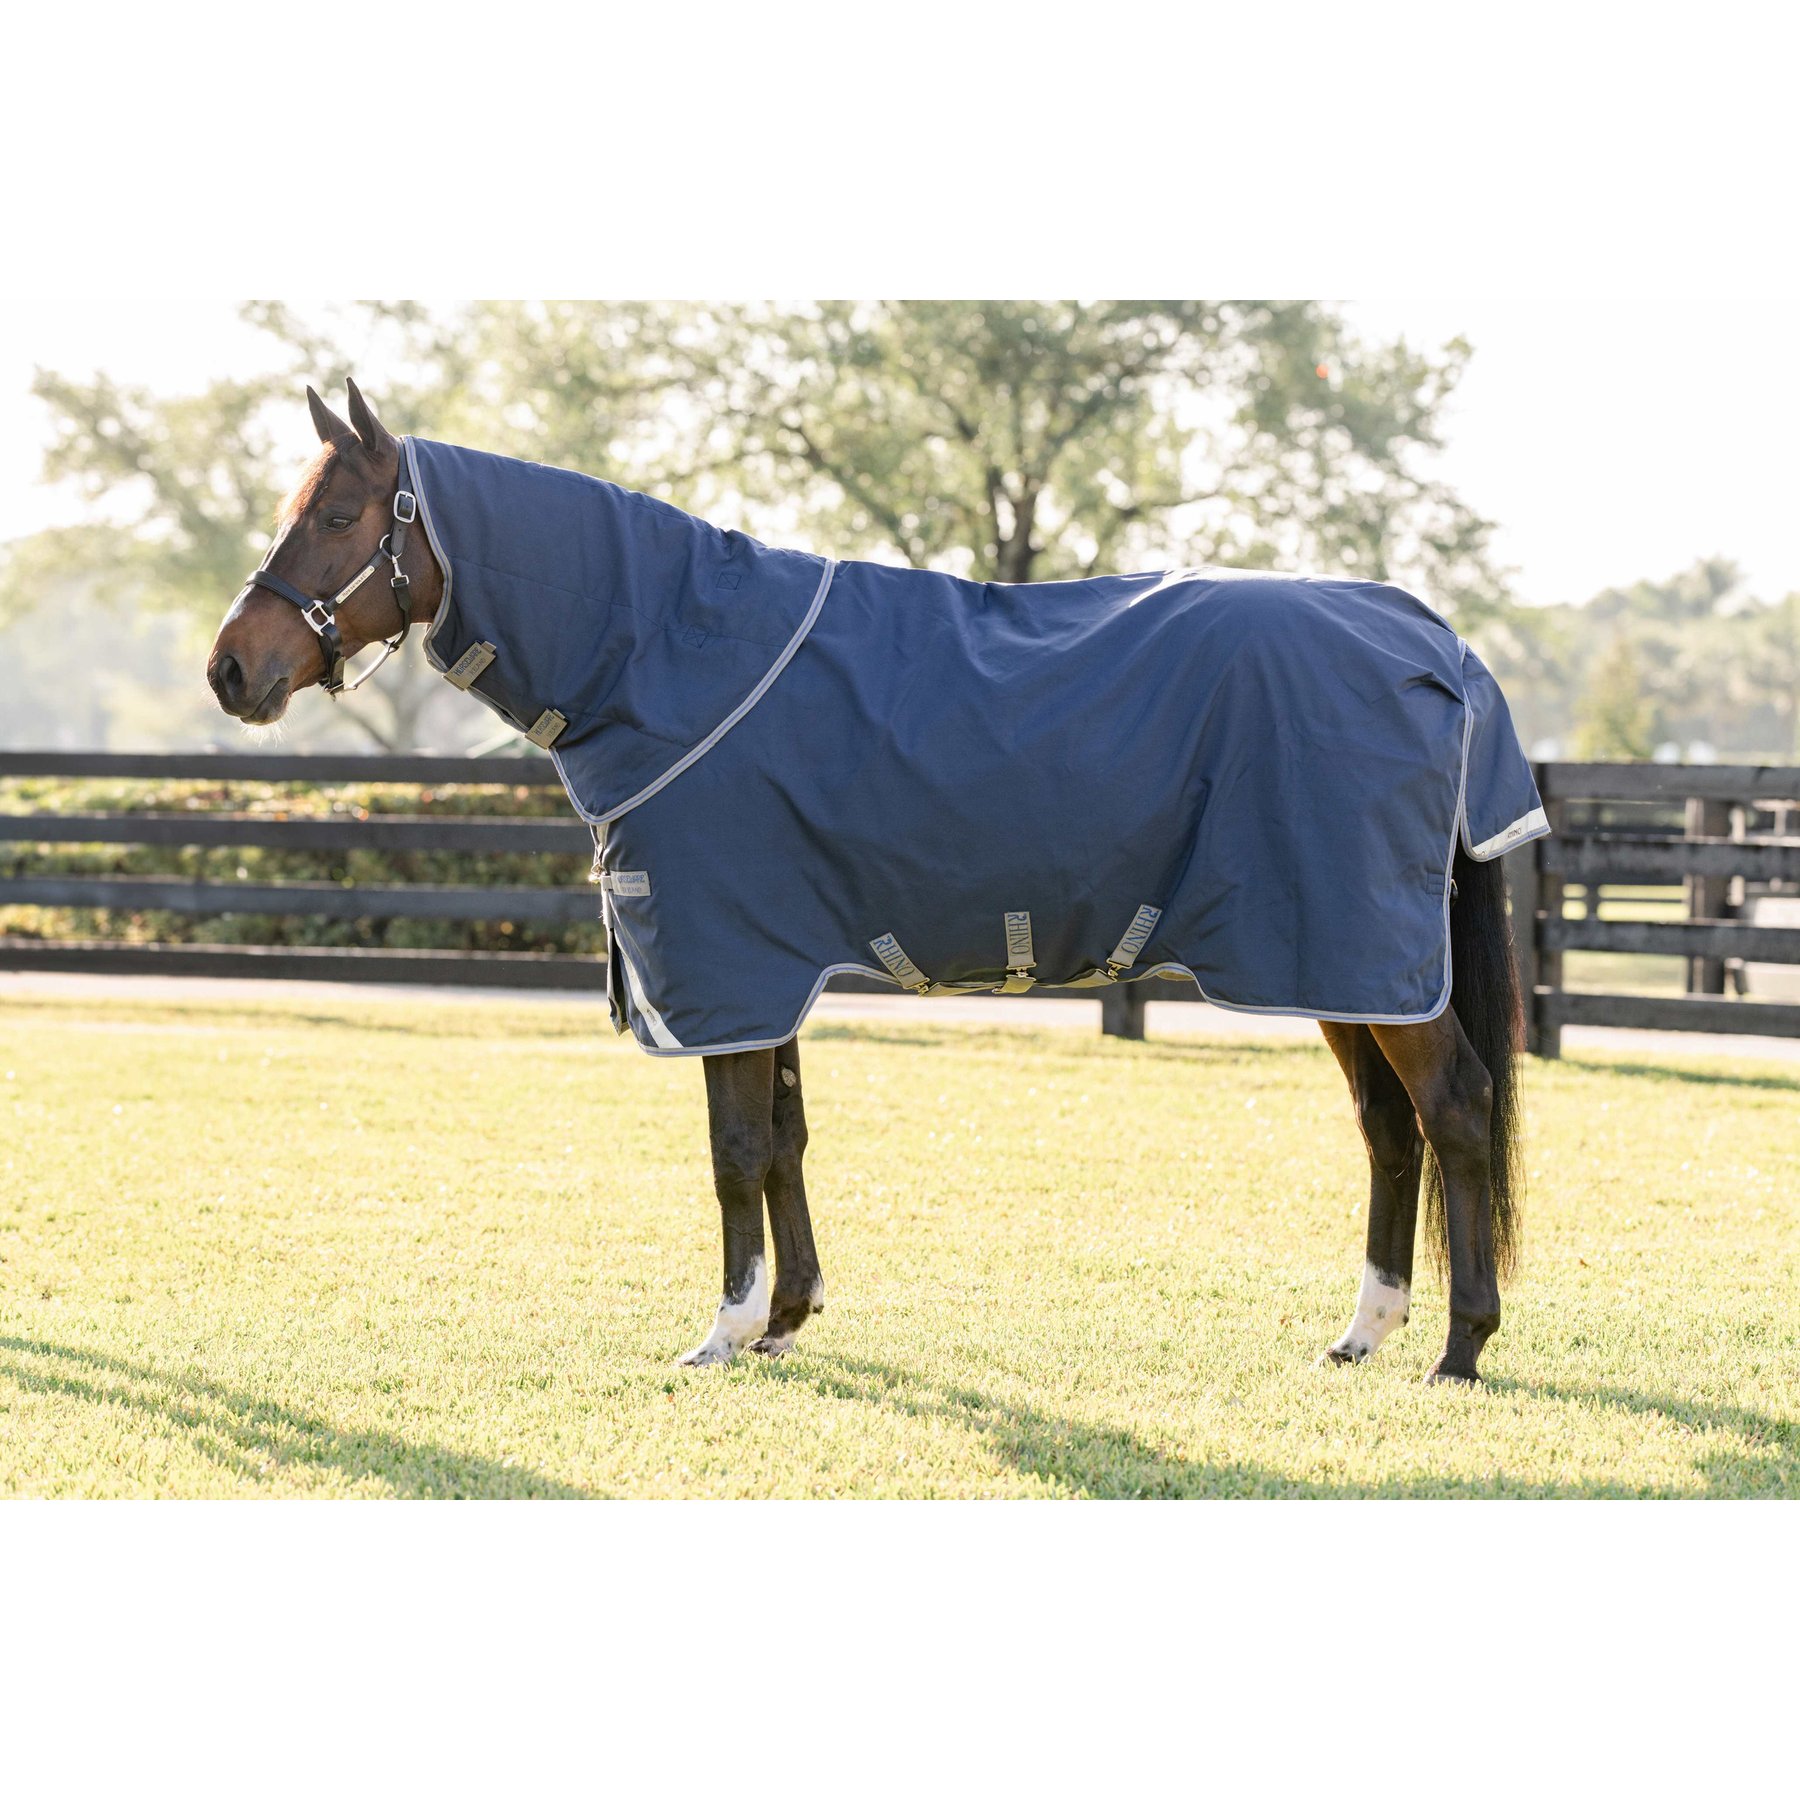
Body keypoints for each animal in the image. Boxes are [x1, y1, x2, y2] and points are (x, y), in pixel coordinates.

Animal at [208, 380, 1539, 1384]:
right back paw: (1364, 1333)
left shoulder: (728, 966)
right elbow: (789, 1140)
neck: (669, 655)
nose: (230, 670)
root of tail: (1436, 642)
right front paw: (787, 1320)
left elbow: (736, 1148)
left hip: (1361, 955)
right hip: (1336, 964)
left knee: (1455, 1108)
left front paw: (724, 1333)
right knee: (1388, 1128)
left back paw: (1462, 1348)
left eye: (339, 514)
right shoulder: (772, 968)